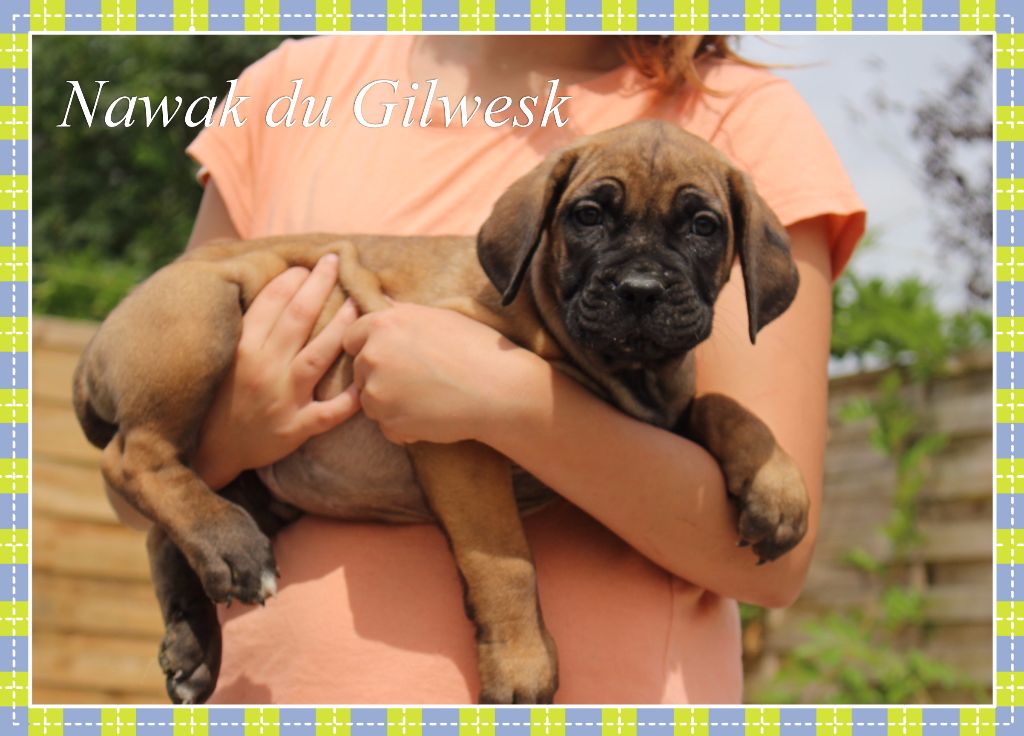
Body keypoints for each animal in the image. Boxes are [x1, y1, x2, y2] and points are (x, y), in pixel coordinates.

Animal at [72, 119, 810, 705]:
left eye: (704, 227)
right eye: (588, 216)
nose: (640, 289)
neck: (620, 374)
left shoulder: (664, 415)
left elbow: (726, 405)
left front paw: (778, 485)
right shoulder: (455, 438)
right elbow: (506, 561)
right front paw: (521, 664)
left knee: (161, 526)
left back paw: (194, 639)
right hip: (200, 316)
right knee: (139, 459)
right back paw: (228, 545)